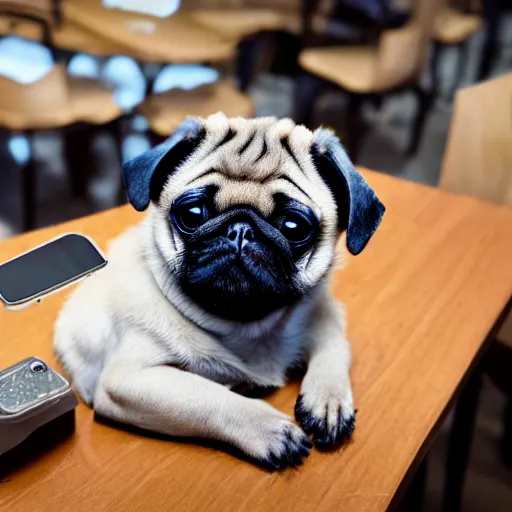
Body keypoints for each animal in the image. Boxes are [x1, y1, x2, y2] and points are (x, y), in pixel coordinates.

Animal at [55, 114, 384, 470]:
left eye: (294, 227)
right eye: (192, 214)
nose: (240, 230)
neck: (246, 324)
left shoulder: (326, 313)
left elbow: (335, 345)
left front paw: (328, 398)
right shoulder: (130, 380)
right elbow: (207, 397)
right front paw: (269, 428)